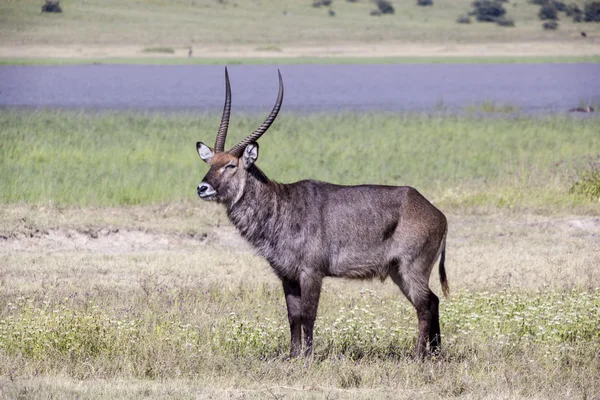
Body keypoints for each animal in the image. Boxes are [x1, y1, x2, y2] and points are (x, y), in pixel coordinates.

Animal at [198, 69, 450, 360]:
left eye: (230, 165)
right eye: (209, 163)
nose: (202, 187)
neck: (280, 204)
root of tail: (437, 213)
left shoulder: (311, 272)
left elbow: (308, 316)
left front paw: (308, 358)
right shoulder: (287, 275)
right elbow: (293, 316)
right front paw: (293, 356)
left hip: (412, 267)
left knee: (425, 305)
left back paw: (419, 357)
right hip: (399, 271)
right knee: (433, 301)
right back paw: (435, 355)